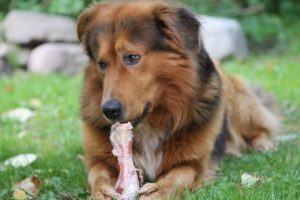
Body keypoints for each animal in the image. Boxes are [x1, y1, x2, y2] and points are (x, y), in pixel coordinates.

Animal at [77, 1, 278, 198]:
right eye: (102, 64)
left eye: (132, 57)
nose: (109, 110)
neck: (152, 122)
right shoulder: (98, 161)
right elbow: (98, 177)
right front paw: (102, 192)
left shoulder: (192, 164)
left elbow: (176, 179)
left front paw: (156, 191)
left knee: (258, 127)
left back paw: (263, 144)